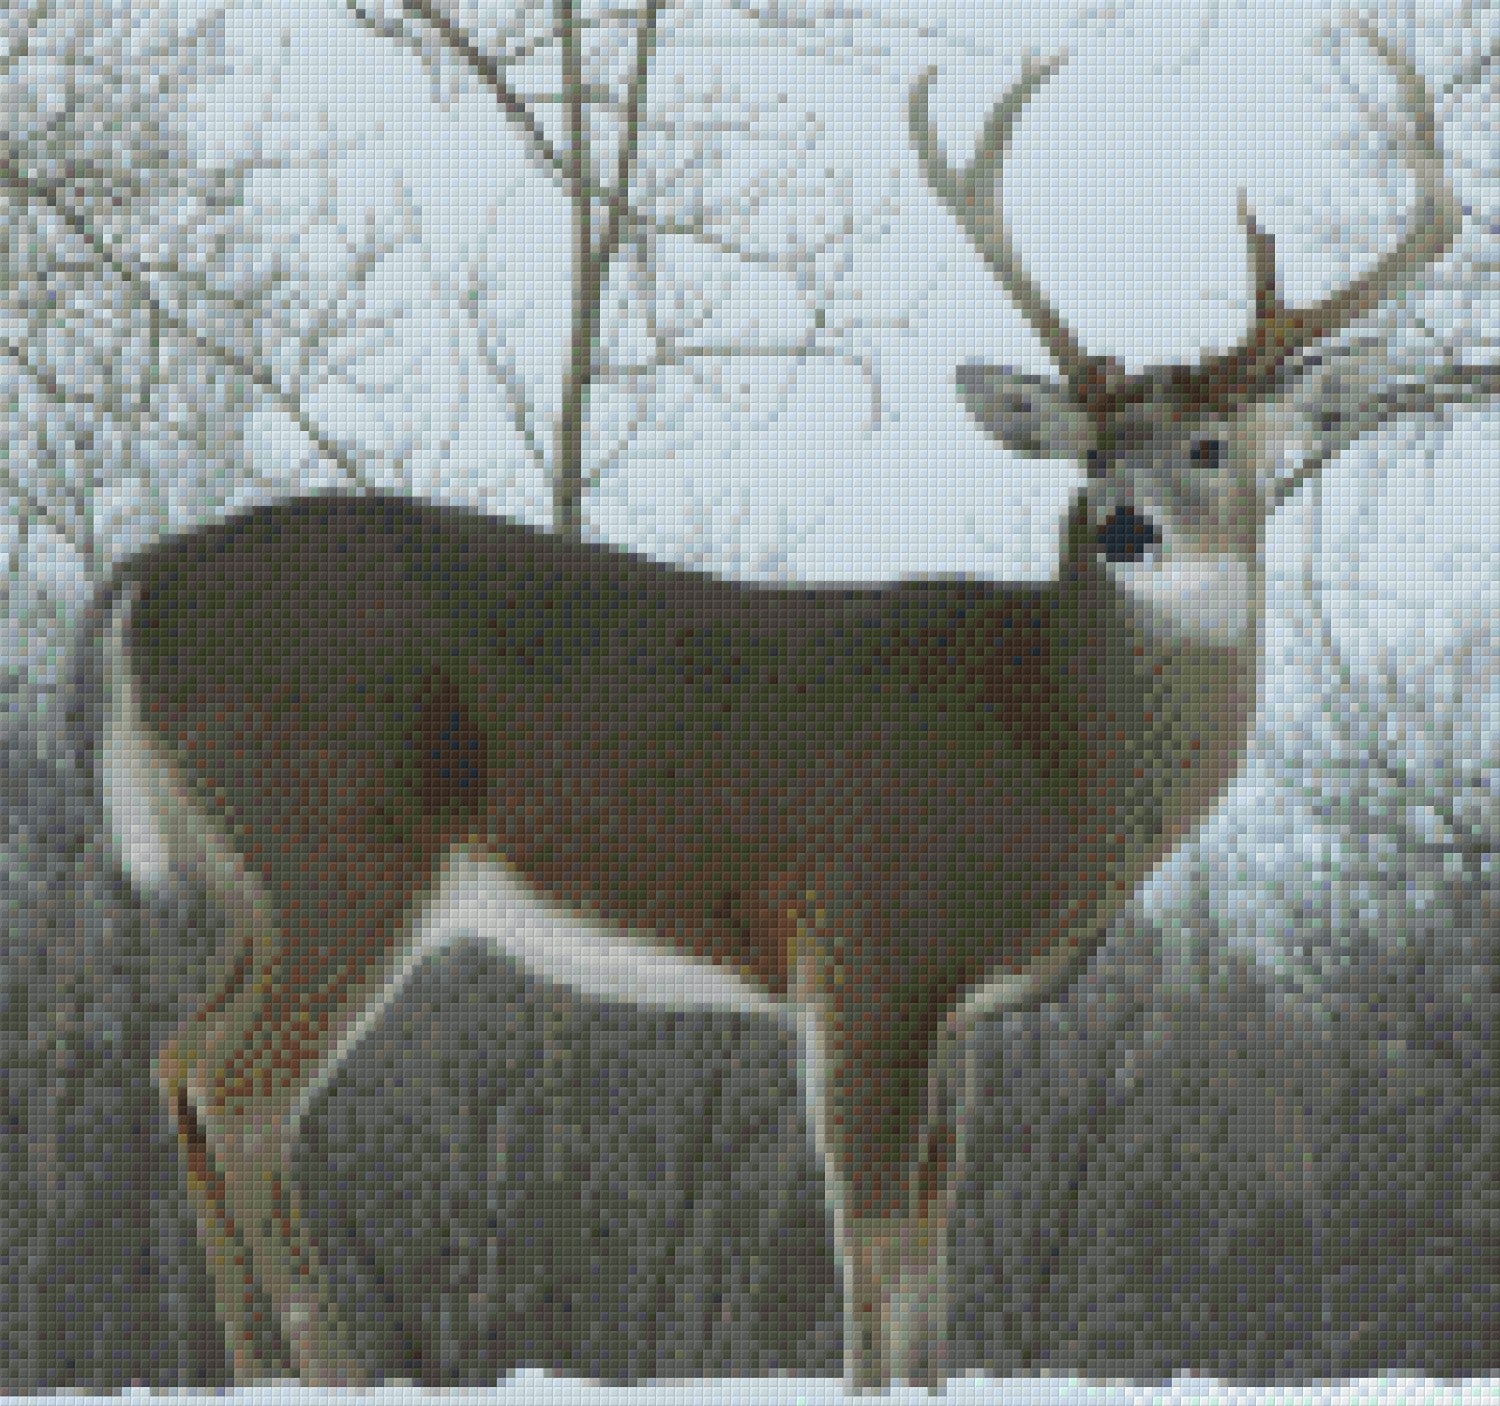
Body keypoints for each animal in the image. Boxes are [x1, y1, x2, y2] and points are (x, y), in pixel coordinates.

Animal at [63, 15, 1456, 1395]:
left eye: (1211, 446)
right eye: (1094, 453)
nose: (1121, 527)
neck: (1058, 738)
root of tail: (135, 583)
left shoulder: (959, 1005)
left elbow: (929, 1250)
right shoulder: (871, 936)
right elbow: (870, 1241)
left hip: (260, 880)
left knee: (178, 1057)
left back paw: (249, 1367)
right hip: (340, 848)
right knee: (243, 1090)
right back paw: (329, 1366)